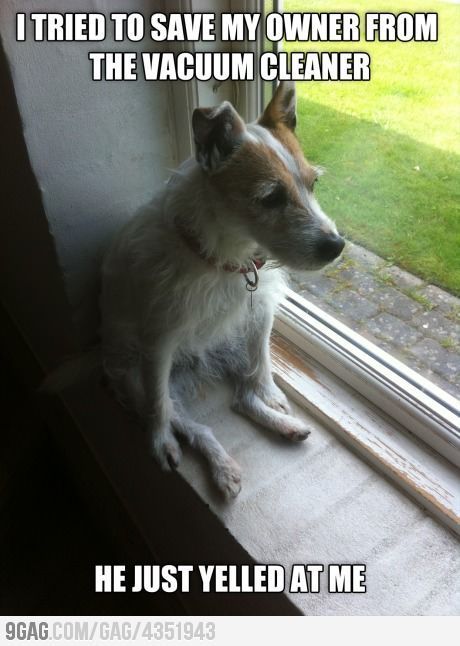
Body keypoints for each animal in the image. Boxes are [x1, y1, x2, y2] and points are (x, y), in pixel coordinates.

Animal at [100, 79, 344, 496]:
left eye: (313, 183)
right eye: (271, 197)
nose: (336, 246)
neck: (225, 258)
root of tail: (195, 366)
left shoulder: (258, 316)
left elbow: (262, 362)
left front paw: (271, 393)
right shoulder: (158, 341)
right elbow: (159, 407)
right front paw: (158, 442)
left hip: (230, 343)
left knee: (242, 398)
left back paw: (283, 426)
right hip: (137, 377)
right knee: (189, 423)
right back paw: (220, 466)